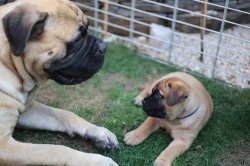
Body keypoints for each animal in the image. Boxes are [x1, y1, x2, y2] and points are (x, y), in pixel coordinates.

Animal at [0, 0, 119, 166]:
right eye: (78, 39)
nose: (104, 47)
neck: (10, 63)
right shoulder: (4, 145)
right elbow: (55, 150)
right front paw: (97, 161)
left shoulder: (26, 108)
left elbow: (64, 114)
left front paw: (98, 132)